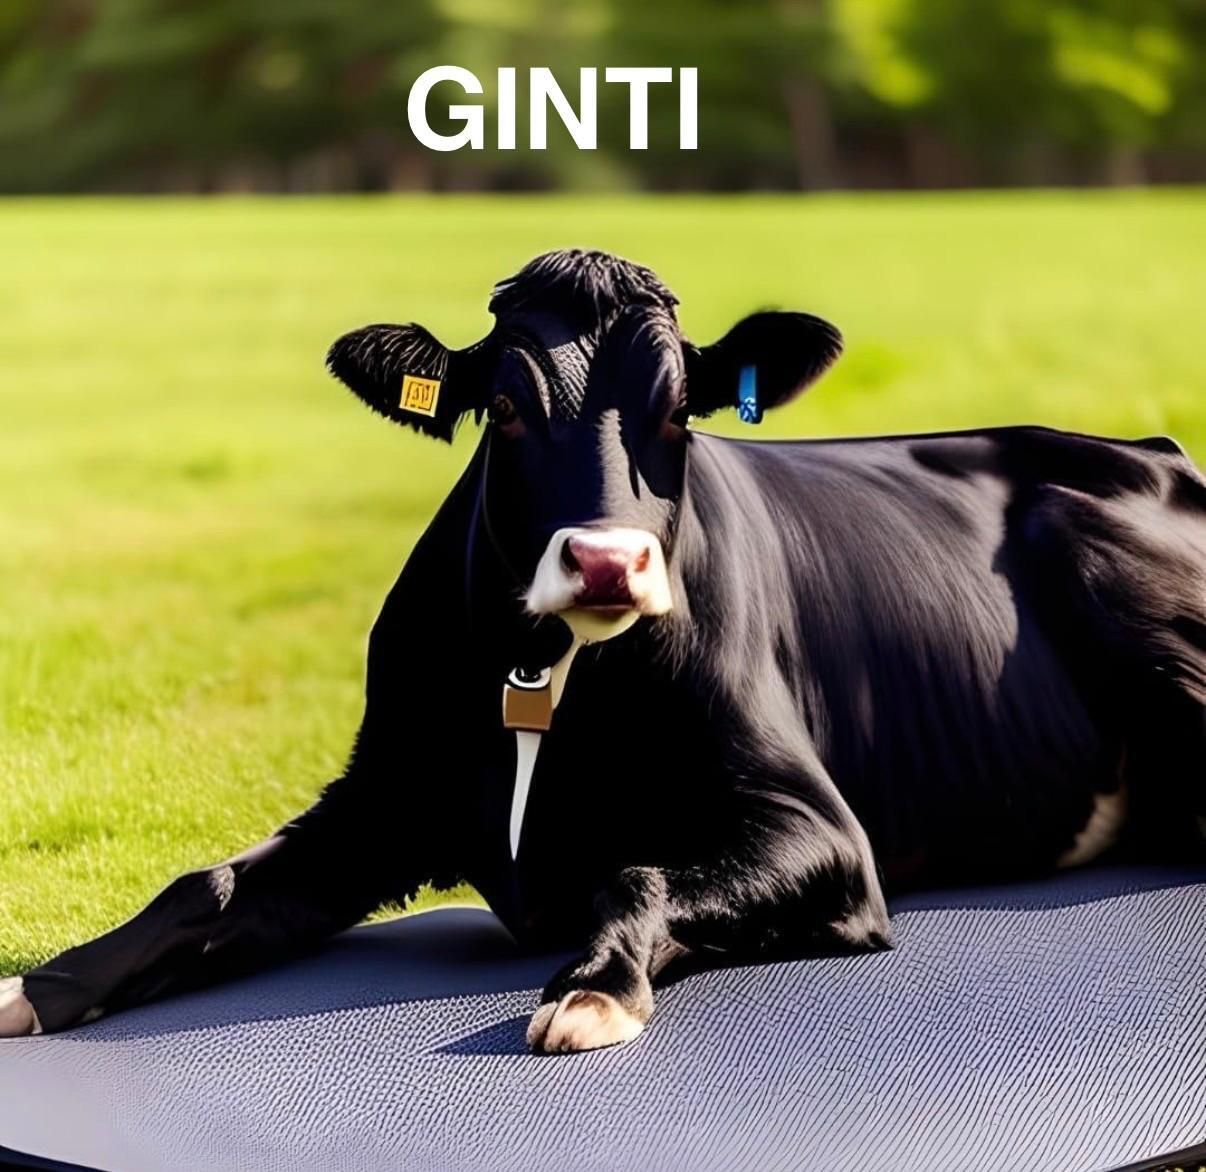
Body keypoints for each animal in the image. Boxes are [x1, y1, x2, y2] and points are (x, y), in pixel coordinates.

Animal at [3, 249, 1204, 1054]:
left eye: (680, 412)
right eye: (503, 408)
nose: (607, 561)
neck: (547, 678)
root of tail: (1146, 443)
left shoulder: (823, 828)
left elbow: (638, 869)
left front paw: (592, 986)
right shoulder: (382, 794)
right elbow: (202, 885)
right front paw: (40, 988)